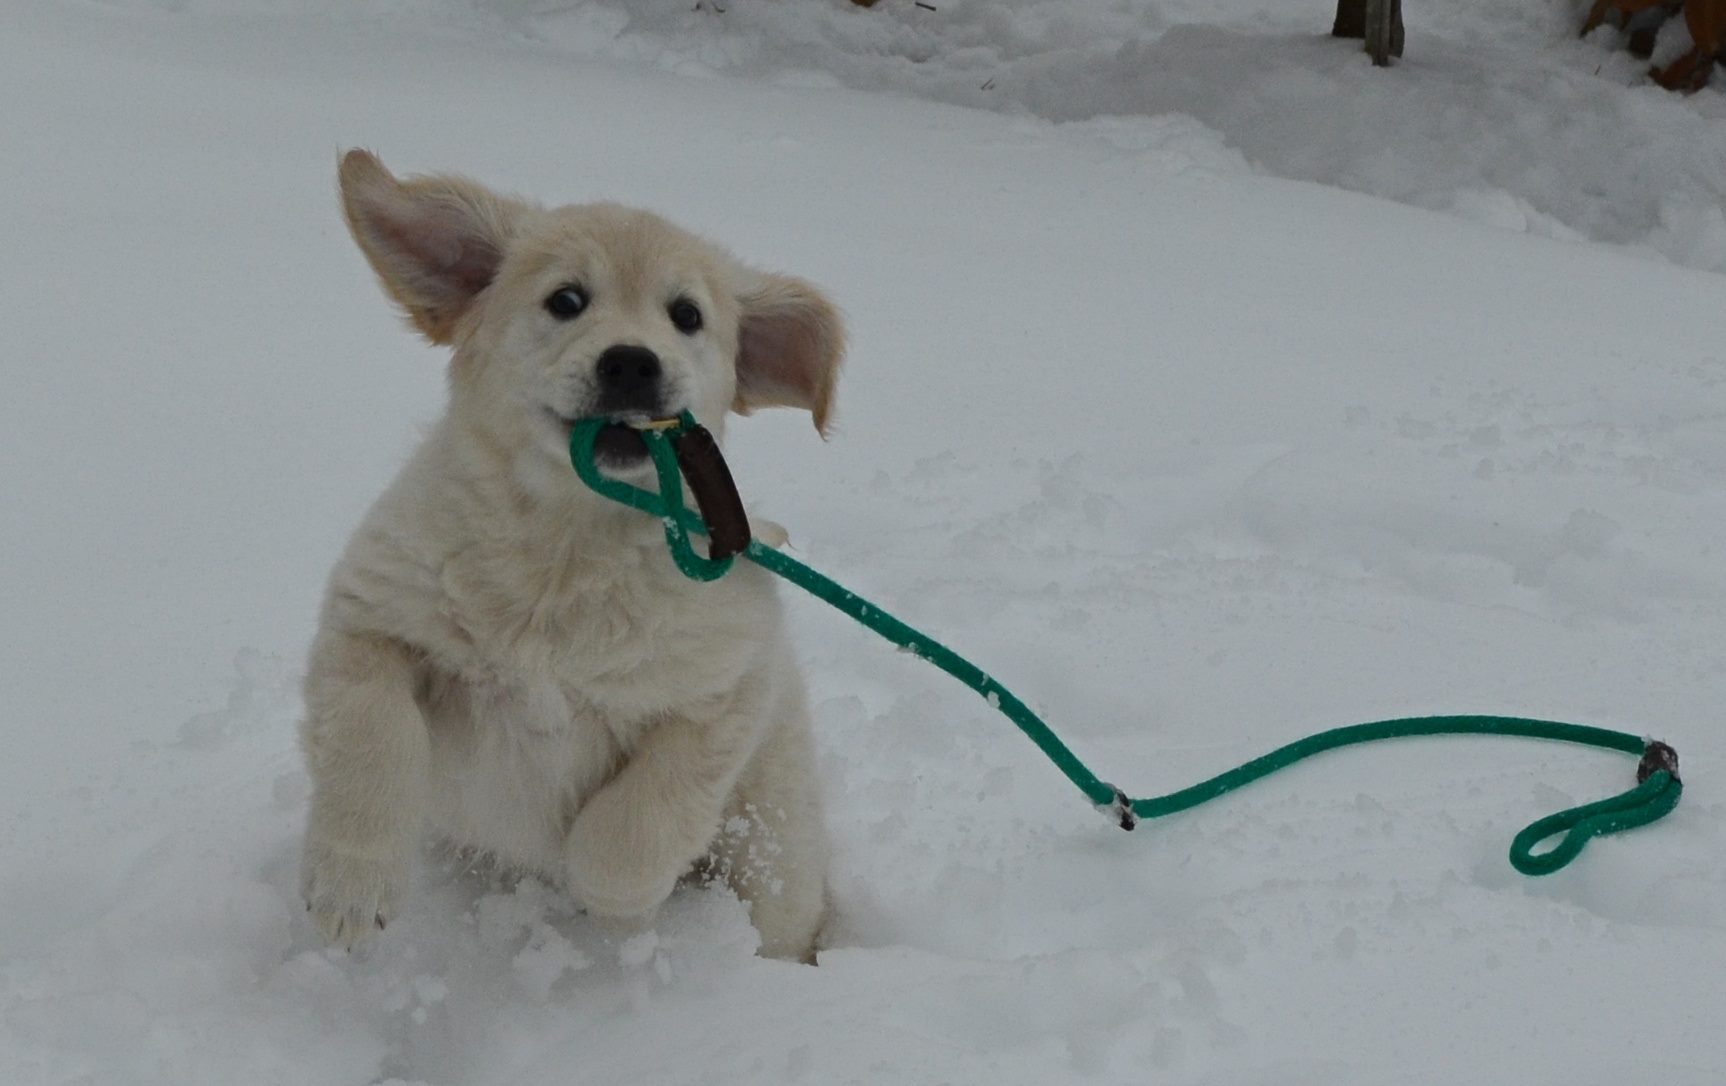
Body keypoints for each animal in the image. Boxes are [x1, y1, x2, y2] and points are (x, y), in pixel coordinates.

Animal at [300, 150, 845, 959]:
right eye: (566, 300)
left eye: (687, 316)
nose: (631, 364)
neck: (567, 549)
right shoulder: (370, 621)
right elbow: (371, 739)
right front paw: (350, 884)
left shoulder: (725, 693)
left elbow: (639, 818)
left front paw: (617, 906)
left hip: (774, 847)